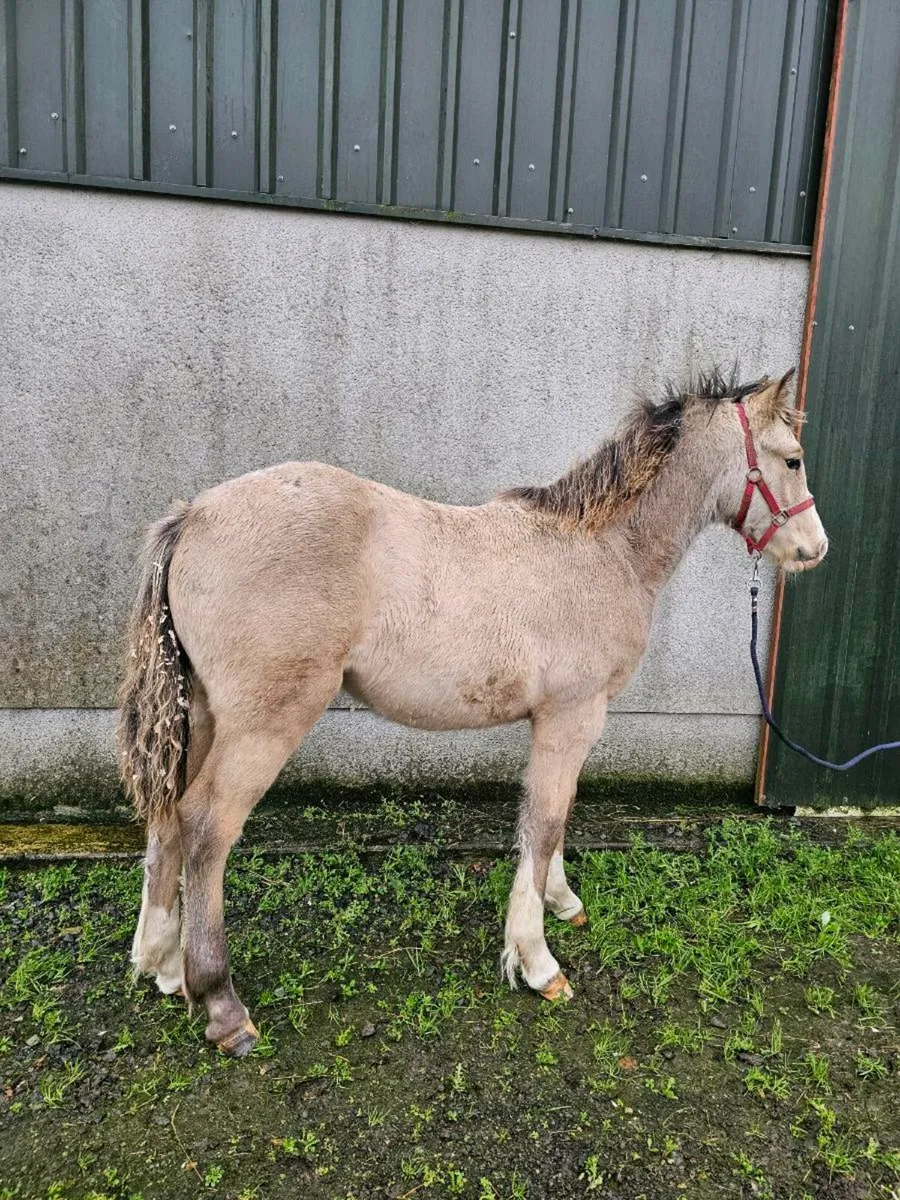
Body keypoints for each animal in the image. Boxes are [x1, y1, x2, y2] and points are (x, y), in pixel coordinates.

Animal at [118, 367, 827, 1056]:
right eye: (792, 459)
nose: (815, 548)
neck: (604, 550)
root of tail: (193, 516)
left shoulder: (561, 721)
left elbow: (555, 813)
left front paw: (561, 900)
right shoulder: (573, 715)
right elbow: (544, 821)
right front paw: (538, 963)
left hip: (201, 715)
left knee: (167, 817)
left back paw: (164, 965)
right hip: (265, 723)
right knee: (206, 827)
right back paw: (222, 1005)